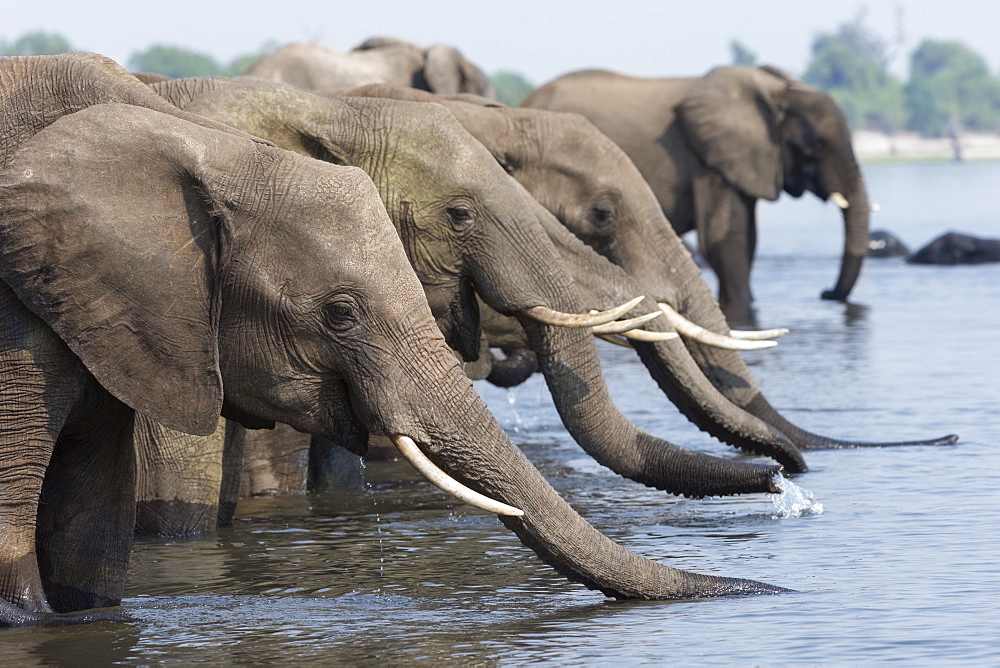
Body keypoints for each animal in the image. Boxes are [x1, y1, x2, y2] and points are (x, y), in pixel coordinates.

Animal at [524, 65, 876, 326]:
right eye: (812, 148)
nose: (826, 293)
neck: (777, 91)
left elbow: (747, 240)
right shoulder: (708, 163)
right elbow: (725, 241)